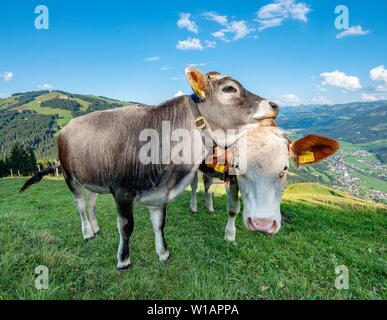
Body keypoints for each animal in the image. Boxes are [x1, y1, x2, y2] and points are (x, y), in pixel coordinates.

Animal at [19, 67, 278, 270]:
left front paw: (163, 253)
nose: (274, 104)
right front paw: (123, 260)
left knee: (91, 204)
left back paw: (96, 228)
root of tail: (67, 127)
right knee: (80, 205)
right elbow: (126, 227)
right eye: (229, 89)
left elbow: (159, 223)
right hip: (69, 175)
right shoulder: (122, 191)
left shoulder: (159, 194)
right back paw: (87, 233)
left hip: (92, 178)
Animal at [191, 126, 340, 241]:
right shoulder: (230, 177)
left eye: (285, 168)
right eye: (238, 166)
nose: (262, 224)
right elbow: (233, 209)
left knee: (207, 184)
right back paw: (193, 207)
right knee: (194, 185)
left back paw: (209, 207)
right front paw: (229, 236)